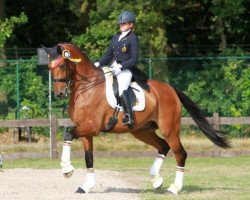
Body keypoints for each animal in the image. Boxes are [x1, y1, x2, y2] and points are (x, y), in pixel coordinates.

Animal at [41, 43, 230, 195]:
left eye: (63, 65)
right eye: (49, 67)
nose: (59, 94)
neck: (87, 87)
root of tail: (171, 89)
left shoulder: (92, 127)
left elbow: (68, 133)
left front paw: (67, 168)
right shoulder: (85, 130)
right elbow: (89, 158)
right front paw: (86, 186)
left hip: (169, 129)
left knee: (180, 153)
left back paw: (174, 188)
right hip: (142, 131)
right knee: (163, 146)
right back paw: (156, 180)